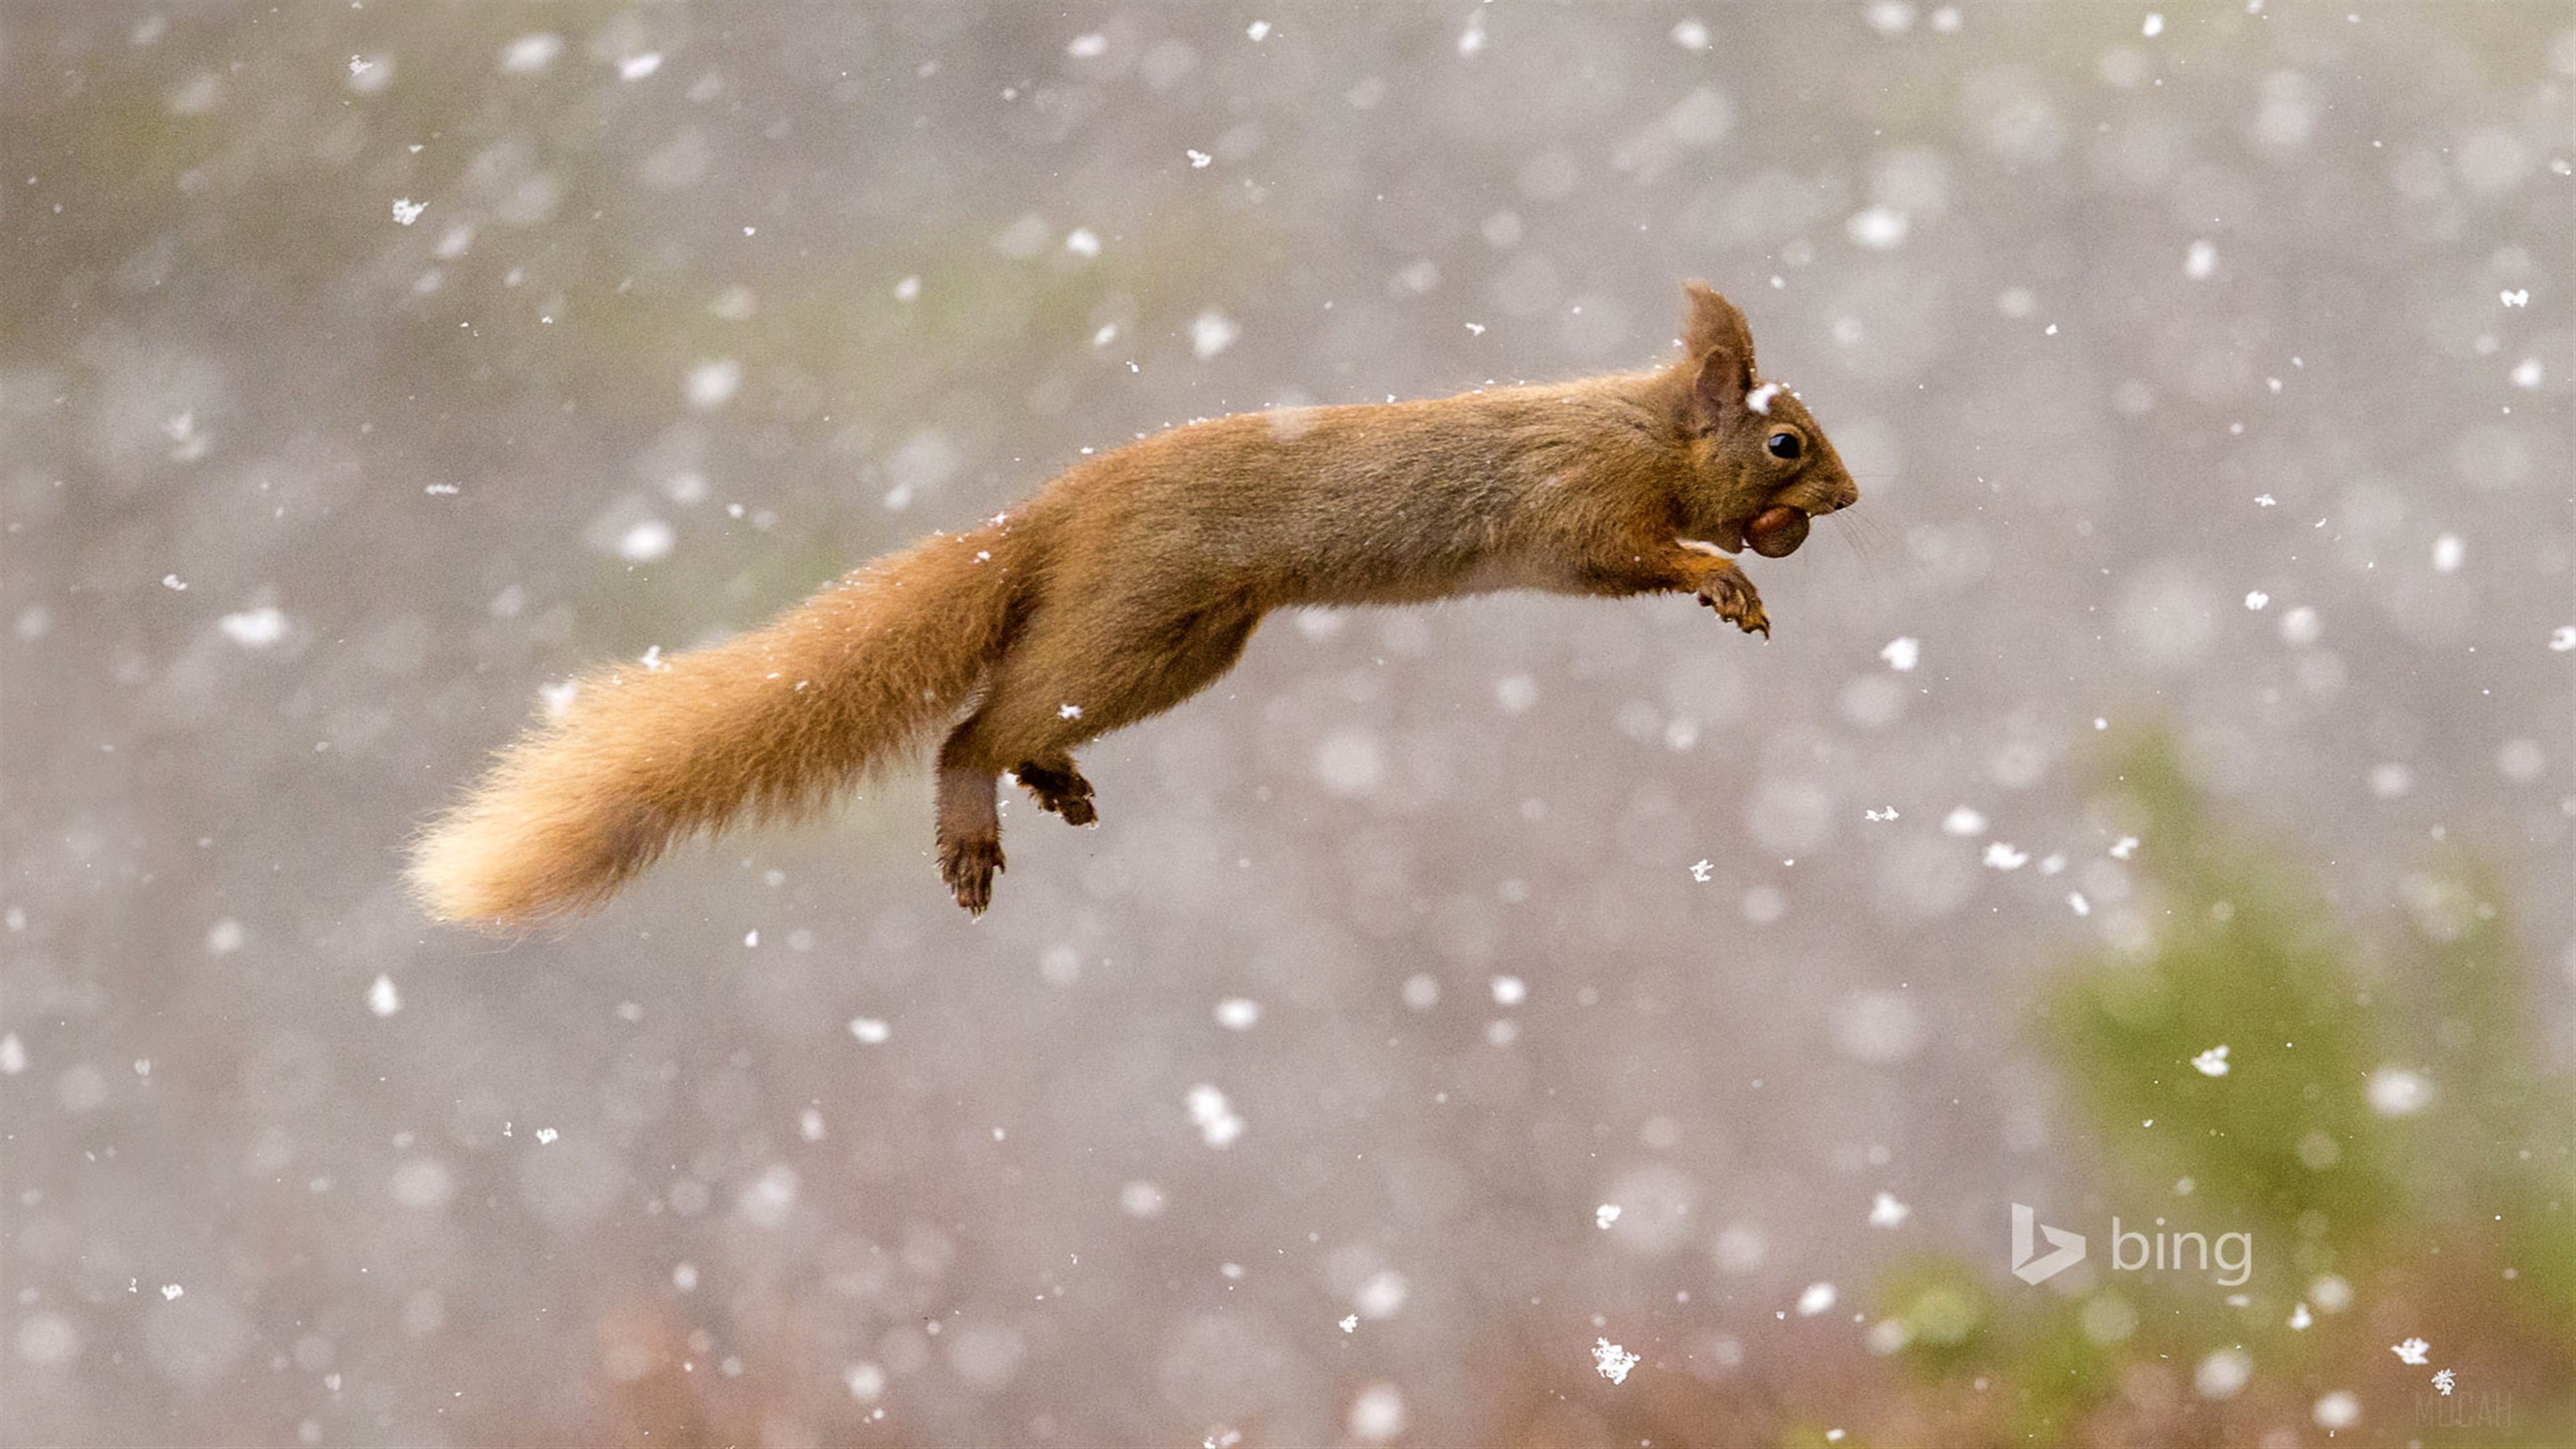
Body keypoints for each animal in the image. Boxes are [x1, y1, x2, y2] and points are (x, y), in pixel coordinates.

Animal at [408, 282, 1859, 923]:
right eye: (1785, 444)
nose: (1844, 498)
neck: (1649, 425)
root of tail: (1046, 520)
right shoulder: (1579, 505)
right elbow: (1631, 554)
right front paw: (1720, 580)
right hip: (1135, 621)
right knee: (969, 728)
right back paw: (976, 822)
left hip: (1182, 648)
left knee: (1016, 713)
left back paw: (1047, 779)